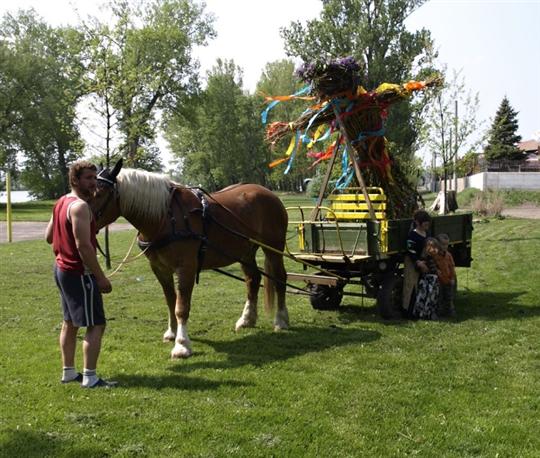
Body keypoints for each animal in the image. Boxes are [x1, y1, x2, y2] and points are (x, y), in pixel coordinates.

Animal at [88, 159, 289, 359]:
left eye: (99, 193)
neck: (165, 217)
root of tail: (268, 193)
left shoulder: (186, 268)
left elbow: (181, 307)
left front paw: (182, 344)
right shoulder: (160, 268)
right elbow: (171, 301)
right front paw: (172, 332)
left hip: (273, 247)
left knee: (280, 278)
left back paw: (281, 320)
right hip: (245, 252)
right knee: (252, 279)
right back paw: (247, 319)